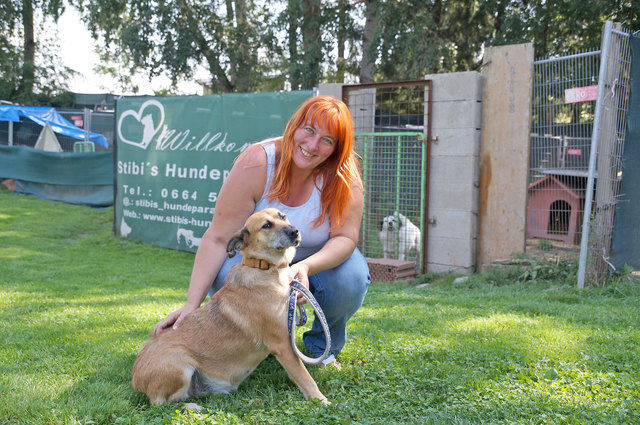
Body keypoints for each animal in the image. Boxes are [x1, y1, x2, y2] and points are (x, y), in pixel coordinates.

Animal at [132, 208, 328, 404]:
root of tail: (135, 381)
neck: (265, 268)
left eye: (283, 216)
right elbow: (305, 377)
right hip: (180, 365)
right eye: (266, 225)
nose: (295, 231)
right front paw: (321, 400)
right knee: (162, 402)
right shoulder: (282, 344)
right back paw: (194, 406)